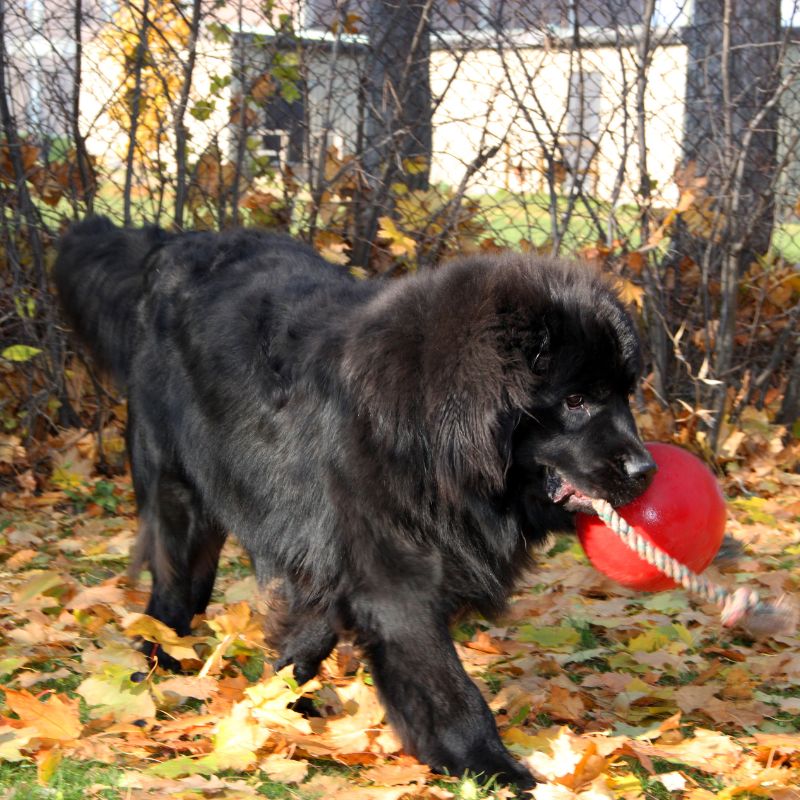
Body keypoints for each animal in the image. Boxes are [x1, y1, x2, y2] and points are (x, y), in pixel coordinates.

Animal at [56, 217, 656, 788]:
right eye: (575, 401)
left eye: (625, 395)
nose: (645, 470)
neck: (428, 431)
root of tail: (169, 247)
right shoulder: (391, 577)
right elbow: (447, 684)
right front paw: (492, 765)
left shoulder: (335, 553)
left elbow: (314, 628)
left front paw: (280, 703)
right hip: (180, 494)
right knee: (174, 593)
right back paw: (152, 670)